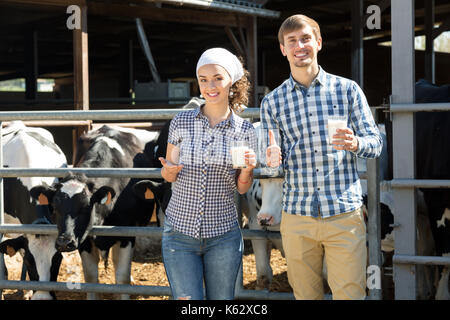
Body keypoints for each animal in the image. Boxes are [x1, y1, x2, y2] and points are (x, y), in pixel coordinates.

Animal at [29, 125, 153, 300]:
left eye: (85, 207)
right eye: (55, 207)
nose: (64, 243)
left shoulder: (127, 234)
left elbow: (122, 278)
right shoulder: (84, 239)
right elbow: (91, 277)